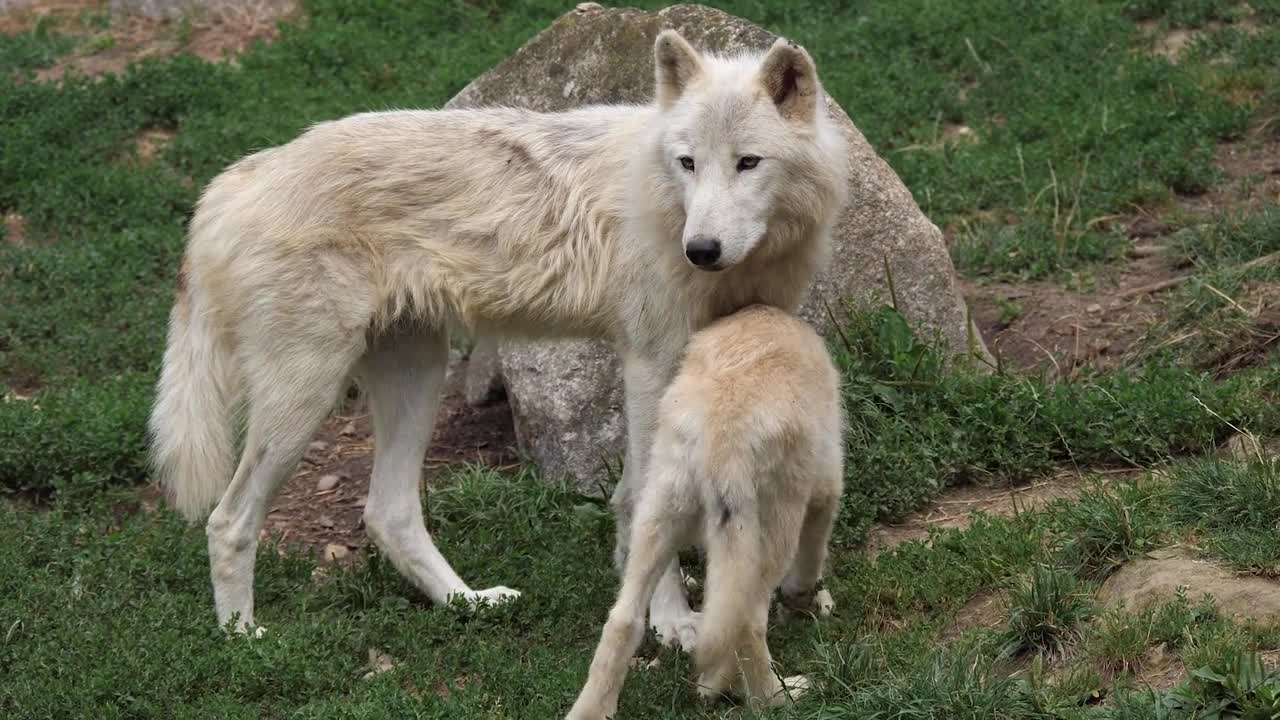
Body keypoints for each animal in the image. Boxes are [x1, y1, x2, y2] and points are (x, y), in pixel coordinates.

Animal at [149, 28, 844, 638]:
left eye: (748, 163)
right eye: (688, 163)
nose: (700, 249)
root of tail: (231, 182)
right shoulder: (650, 363)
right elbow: (644, 501)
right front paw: (670, 622)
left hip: (417, 375)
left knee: (386, 513)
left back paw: (469, 603)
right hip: (307, 397)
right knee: (228, 520)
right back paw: (242, 640)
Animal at [565, 303, 844, 717]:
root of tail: (722, 432)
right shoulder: (826, 482)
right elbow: (812, 556)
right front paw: (804, 600)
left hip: (659, 516)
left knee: (623, 620)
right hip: (770, 528)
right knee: (747, 623)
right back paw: (778, 696)